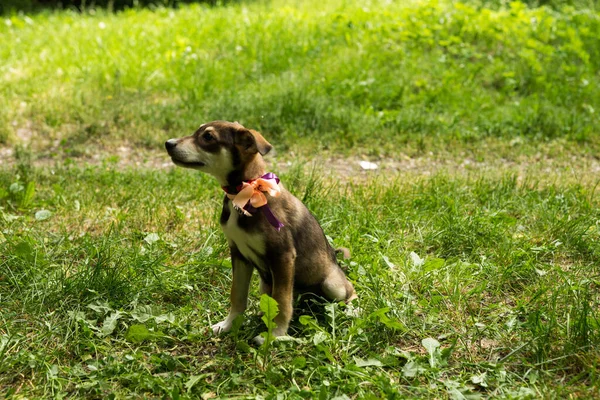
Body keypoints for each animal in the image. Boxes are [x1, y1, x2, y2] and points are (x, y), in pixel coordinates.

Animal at [164, 120, 356, 342]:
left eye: (208, 137)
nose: (168, 143)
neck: (245, 192)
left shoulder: (282, 256)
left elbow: (282, 302)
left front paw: (275, 335)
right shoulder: (238, 254)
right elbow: (237, 295)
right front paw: (229, 325)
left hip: (332, 284)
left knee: (348, 292)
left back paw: (352, 310)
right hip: (265, 283)